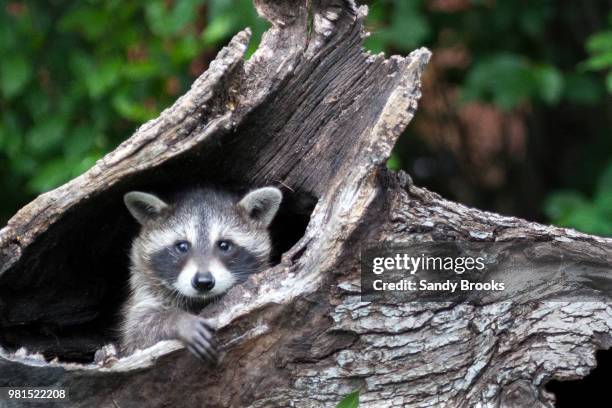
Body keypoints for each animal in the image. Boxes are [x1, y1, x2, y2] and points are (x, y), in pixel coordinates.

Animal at [120, 186, 284, 362]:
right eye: (182, 246)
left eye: (224, 245)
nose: (203, 281)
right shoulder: (144, 286)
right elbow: (136, 330)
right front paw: (179, 320)